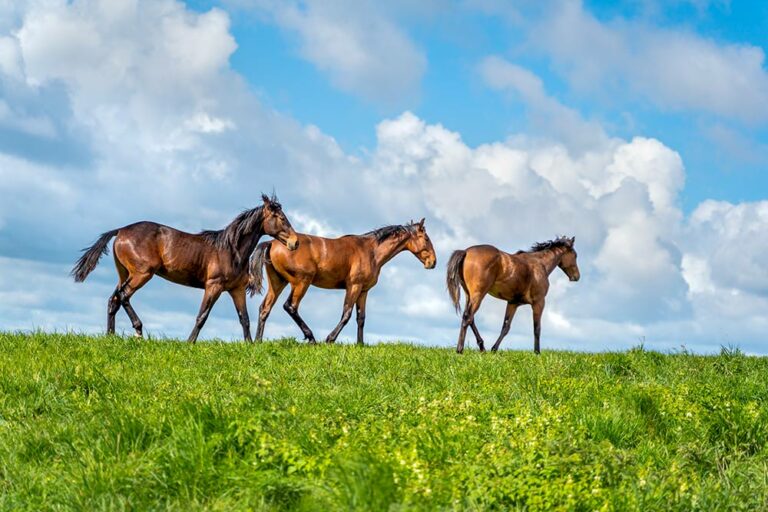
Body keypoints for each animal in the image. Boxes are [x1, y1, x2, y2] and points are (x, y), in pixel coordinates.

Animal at [71, 194, 298, 343]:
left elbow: (245, 319)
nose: (295, 242)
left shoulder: (237, 290)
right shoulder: (213, 286)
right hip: (142, 274)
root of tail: (120, 231)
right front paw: (190, 342)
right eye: (281, 218)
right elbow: (202, 316)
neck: (231, 250)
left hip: (125, 273)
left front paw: (250, 345)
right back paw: (138, 331)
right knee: (124, 296)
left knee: (114, 299)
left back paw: (110, 336)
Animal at [250, 219, 437, 345]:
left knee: (265, 308)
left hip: (278, 282)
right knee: (290, 306)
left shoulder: (363, 291)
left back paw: (257, 341)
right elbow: (346, 314)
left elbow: (361, 318)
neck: (371, 251)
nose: (433, 262)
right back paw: (311, 338)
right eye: (426, 239)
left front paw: (360, 344)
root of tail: (271, 243)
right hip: (301, 283)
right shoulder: (353, 286)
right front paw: (330, 339)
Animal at [446, 236, 580, 354]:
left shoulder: (513, 303)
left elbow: (505, 327)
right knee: (468, 317)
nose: (576, 276)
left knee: (470, 318)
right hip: (478, 295)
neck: (540, 264)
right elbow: (537, 328)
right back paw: (460, 350)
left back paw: (482, 347)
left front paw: (494, 349)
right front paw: (537, 353)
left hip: (469, 296)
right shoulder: (539, 302)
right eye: (575, 255)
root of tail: (466, 252)